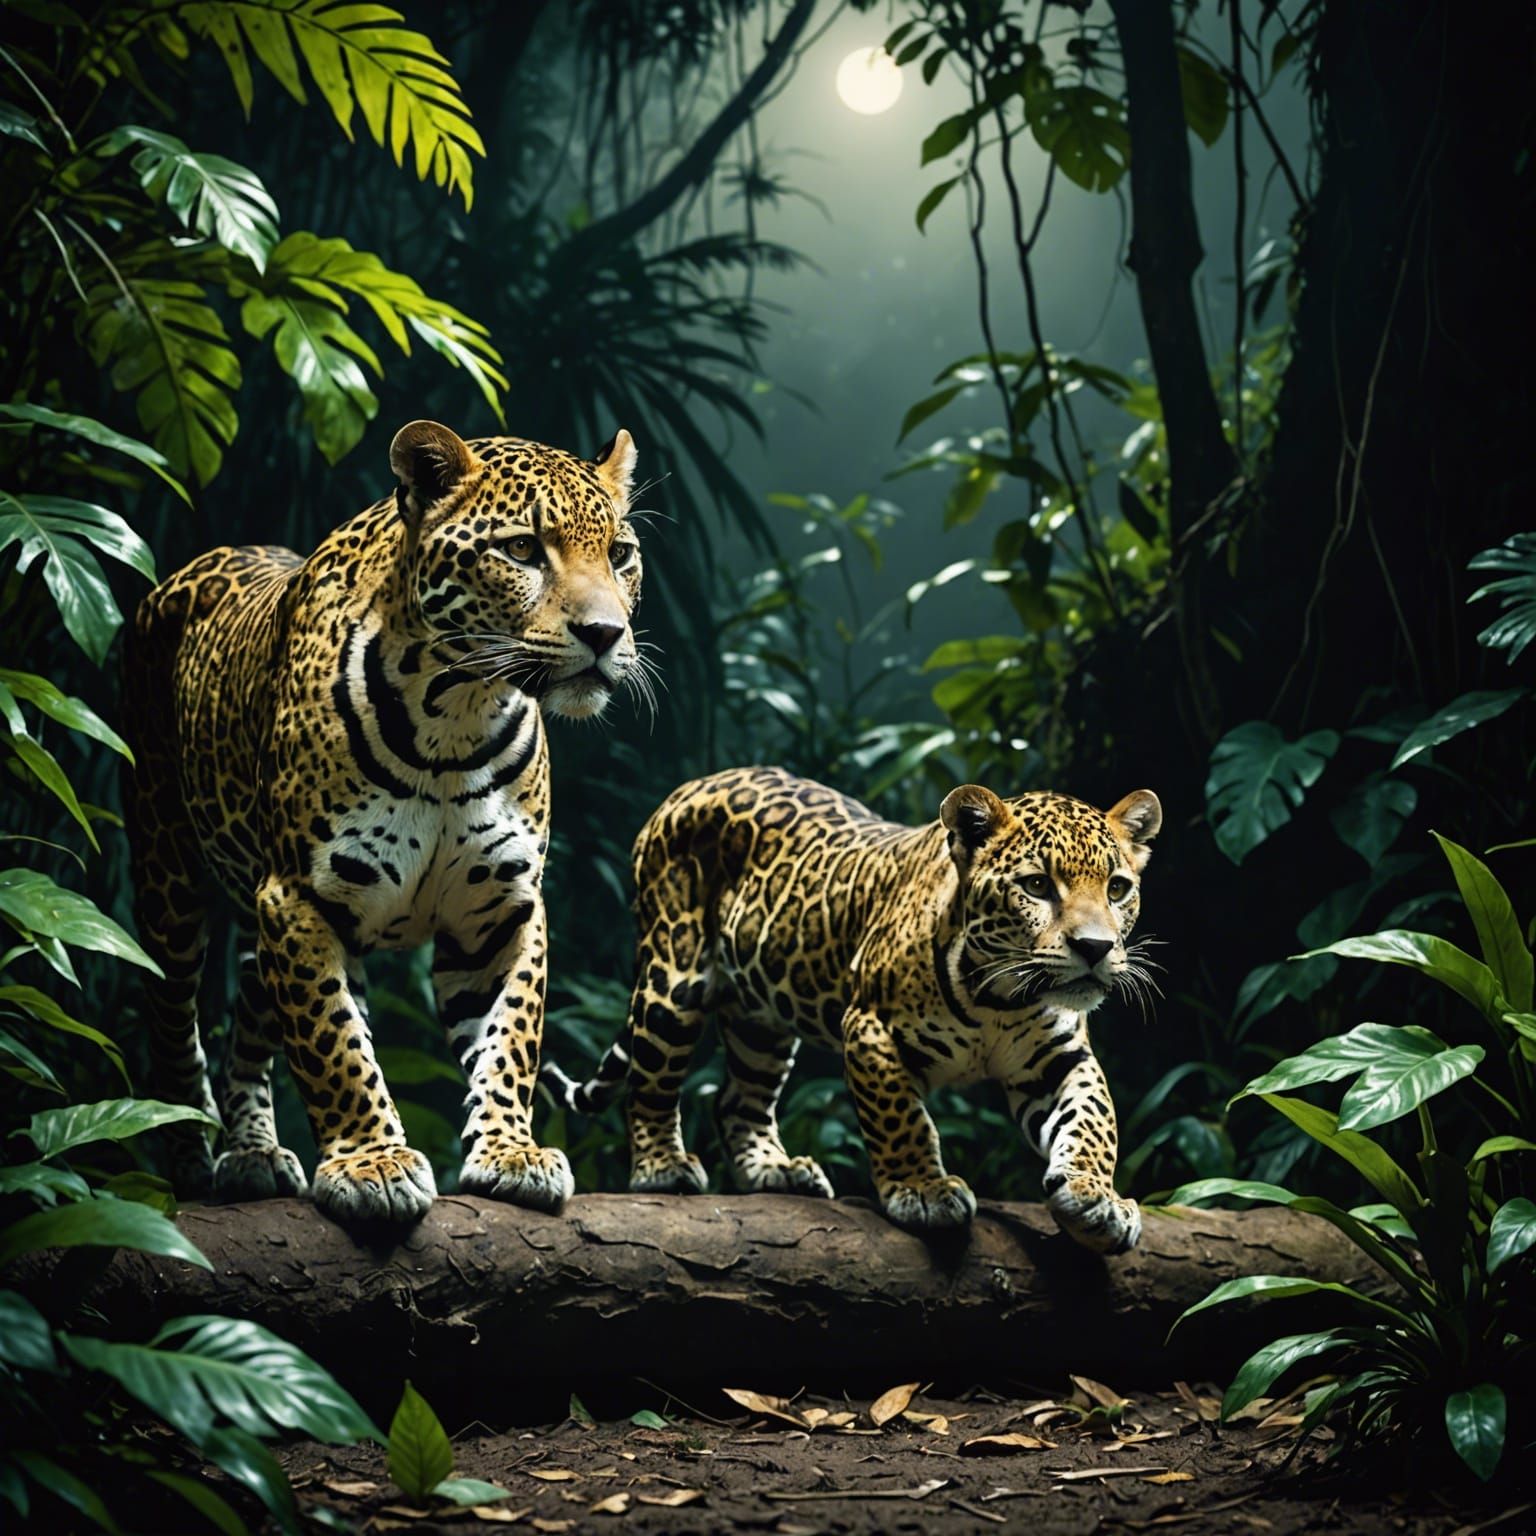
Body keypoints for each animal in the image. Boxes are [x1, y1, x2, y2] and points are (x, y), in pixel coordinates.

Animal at [121, 419, 650, 1228]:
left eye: (620, 555)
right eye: (523, 550)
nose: (605, 633)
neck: (455, 718)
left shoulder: (502, 909)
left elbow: (510, 1038)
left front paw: (510, 1152)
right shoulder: (300, 897)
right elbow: (335, 1043)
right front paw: (372, 1163)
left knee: (250, 1016)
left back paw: (252, 1153)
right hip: (166, 881)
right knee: (173, 1020)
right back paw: (189, 1157)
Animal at [544, 767, 1161, 1252]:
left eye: (1117, 888)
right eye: (1036, 885)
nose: (1095, 948)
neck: (1001, 1000)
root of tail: (689, 786)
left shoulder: (1059, 1056)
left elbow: (1094, 1121)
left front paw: (1095, 1198)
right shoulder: (870, 1028)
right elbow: (901, 1117)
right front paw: (923, 1191)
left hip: (761, 1018)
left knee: (735, 1099)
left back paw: (775, 1169)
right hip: (673, 979)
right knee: (651, 1082)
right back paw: (663, 1168)